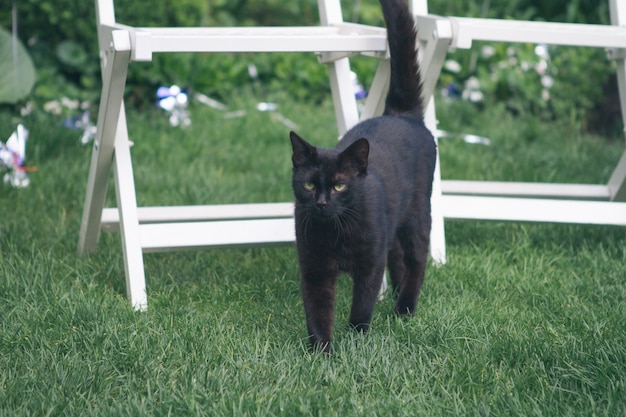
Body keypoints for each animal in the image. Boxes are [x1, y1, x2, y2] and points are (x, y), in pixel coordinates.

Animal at [288, 0, 432, 352]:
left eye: (340, 185)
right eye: (309, 184)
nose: (322, 202)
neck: (334, 231)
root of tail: (402, 115)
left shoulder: (369, 262)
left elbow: (363, 302)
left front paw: (357, 338)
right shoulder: (313, 266)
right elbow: (317, 309)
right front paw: (320, 353)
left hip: (418, 216)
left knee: (417, 259)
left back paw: (405, 308)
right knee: (398, 257)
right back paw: (396, 297)